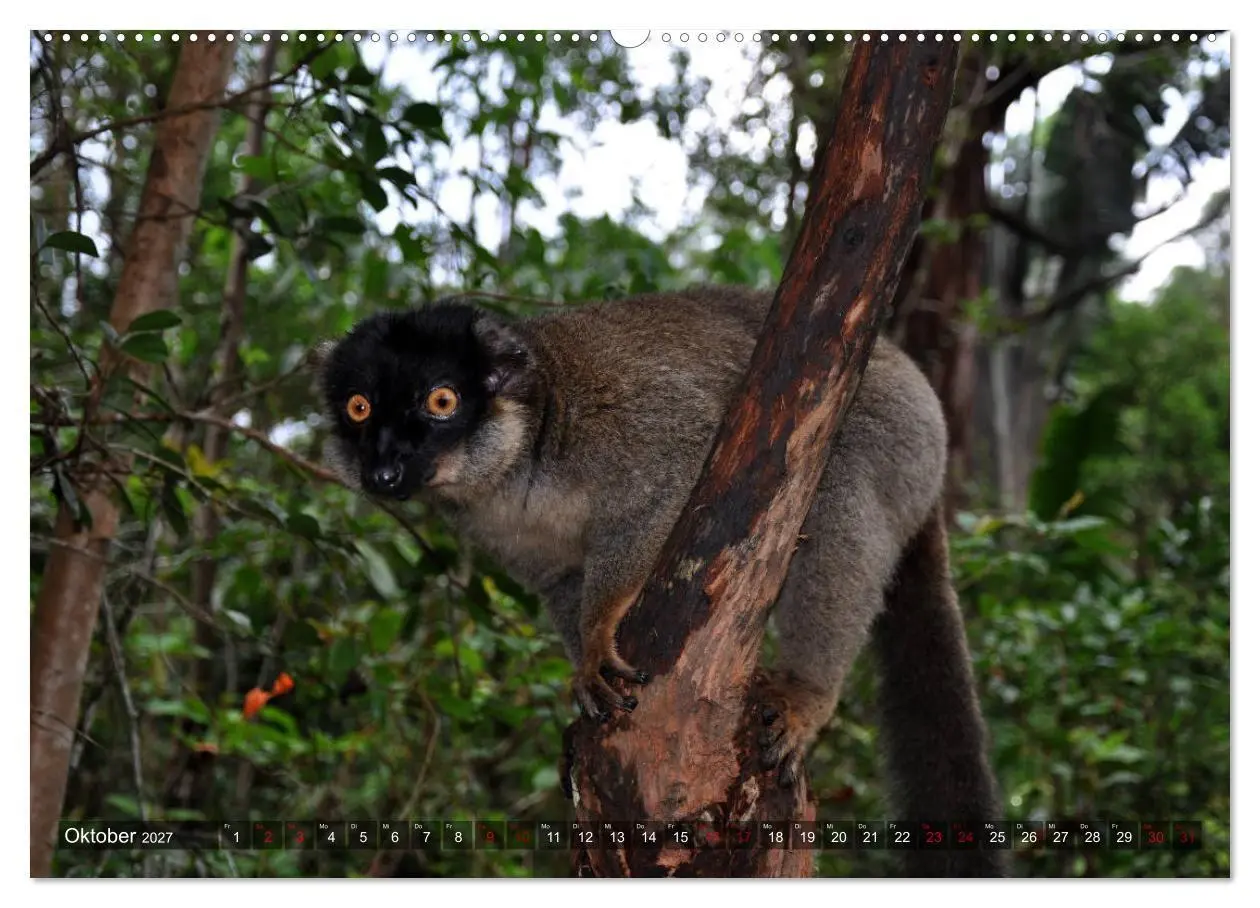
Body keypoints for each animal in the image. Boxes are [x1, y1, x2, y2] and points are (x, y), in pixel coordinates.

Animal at [315, 285, 1005, 876]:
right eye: (359, 409)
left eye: (441, 401)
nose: (381, 469)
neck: (519, 467)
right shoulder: (501, 531)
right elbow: (563, 581)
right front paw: (582, 704)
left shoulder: (614, 412)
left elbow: (683, 459)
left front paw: (600, 635)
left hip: (897, 431)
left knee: (836, 495)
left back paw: (808, 693)